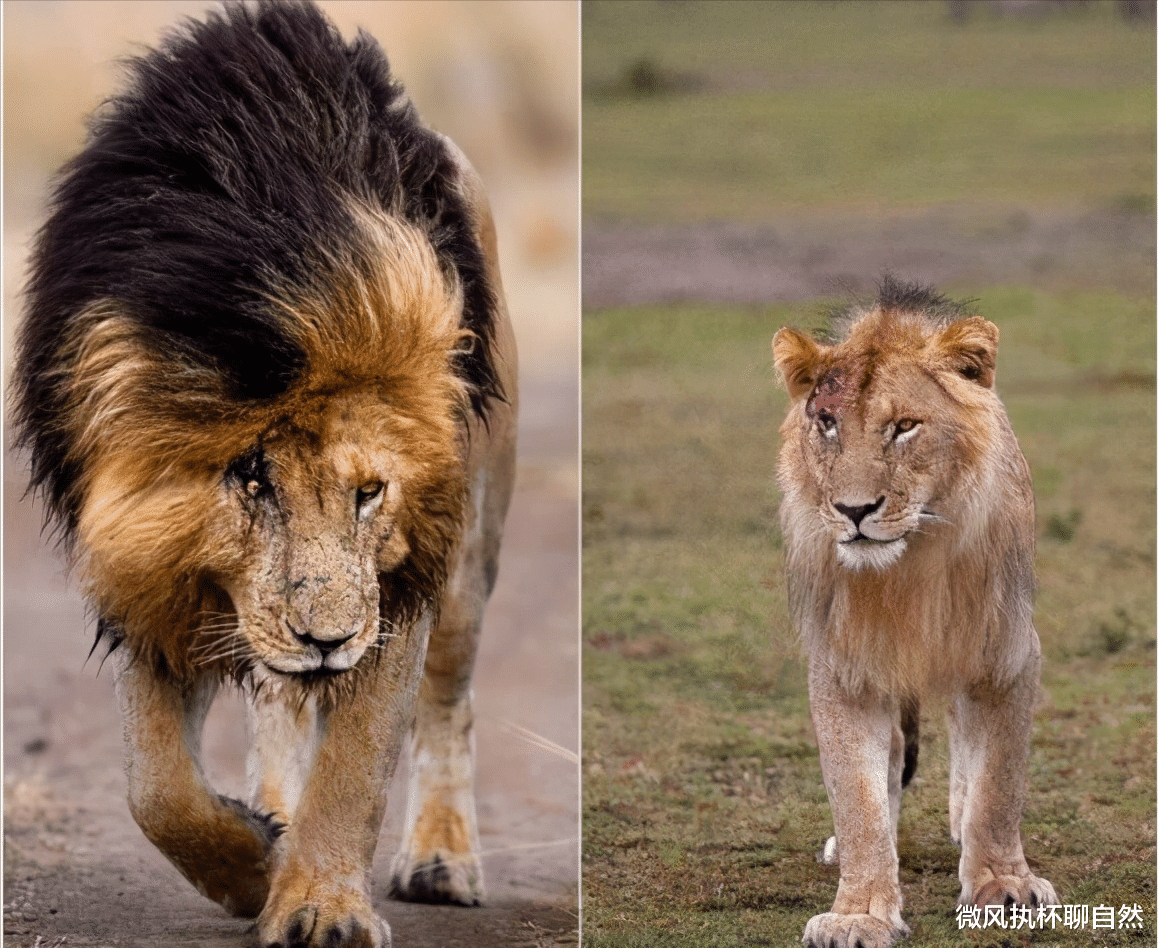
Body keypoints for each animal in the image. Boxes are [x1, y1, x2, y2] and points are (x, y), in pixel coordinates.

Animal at [11, 3, 518, 944]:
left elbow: (357, 761)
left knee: (447, 703)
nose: (327, 640)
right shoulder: (146, 565)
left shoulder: (396, 582)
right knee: (276, 706)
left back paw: (440, 860)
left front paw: (322, 906)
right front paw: (254, 863)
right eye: (253, 482)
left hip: (472, 550)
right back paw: (276, 809)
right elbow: (156, 788)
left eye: (370, 492)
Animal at [773, 276, 1056, 948]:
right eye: (827, 423)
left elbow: (999, 783)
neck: (909, 567)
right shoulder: (845, 667)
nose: (853, 510)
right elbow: (858, 798)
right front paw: (859, 912)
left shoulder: (1007, 651)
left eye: (903, 426)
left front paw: (1004, 886)